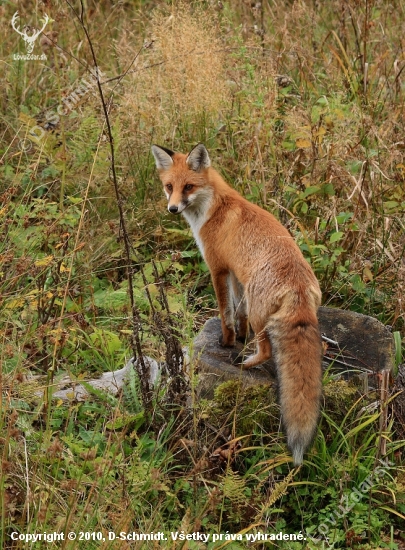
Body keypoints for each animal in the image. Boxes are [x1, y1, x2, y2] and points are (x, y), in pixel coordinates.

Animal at [151, 142, 322, 466]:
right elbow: (237, 311)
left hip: (260, 313)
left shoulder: (217, 268)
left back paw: (246, 362)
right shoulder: (235, 274)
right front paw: (240, 337)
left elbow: (225, 311)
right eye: (169, 187)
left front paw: (228, 341)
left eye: (188, 187)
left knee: (267, 351)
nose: (172, 208)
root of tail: (298, 285)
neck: (212, 208)